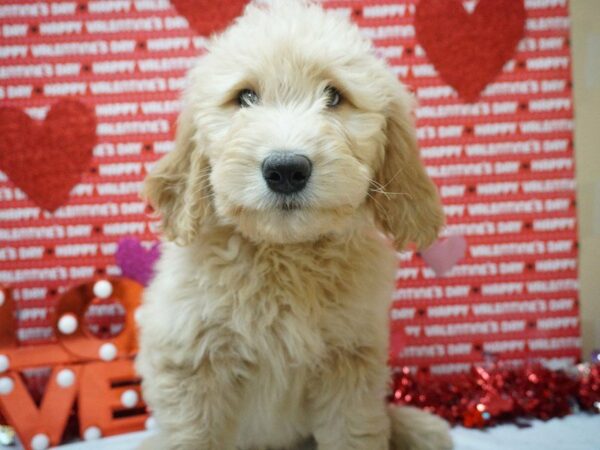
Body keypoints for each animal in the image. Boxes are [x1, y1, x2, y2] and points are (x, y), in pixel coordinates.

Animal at [137, 1, 454, 448]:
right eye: (245, 97)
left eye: (334, 96)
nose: (286, 170)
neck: (284, 255)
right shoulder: (189, 365)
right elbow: (191, 435)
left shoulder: (351, 364)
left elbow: (353, 433)